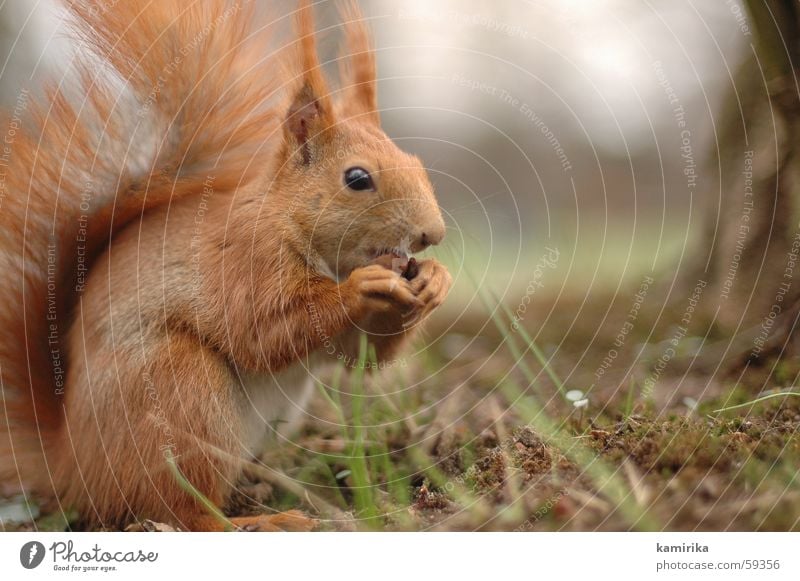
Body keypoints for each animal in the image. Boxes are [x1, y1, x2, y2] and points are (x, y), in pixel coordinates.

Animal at [0, 0, 450, 532]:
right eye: (357, 178)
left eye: (417, 162)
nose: (432, 233)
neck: (289, 224)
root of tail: (71, 467)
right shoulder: (240, 263)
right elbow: (259, 330)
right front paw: (362, 286)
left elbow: (359, 356)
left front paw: (435, 281)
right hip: (179, 392)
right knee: (182, 510)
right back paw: (267, 522)